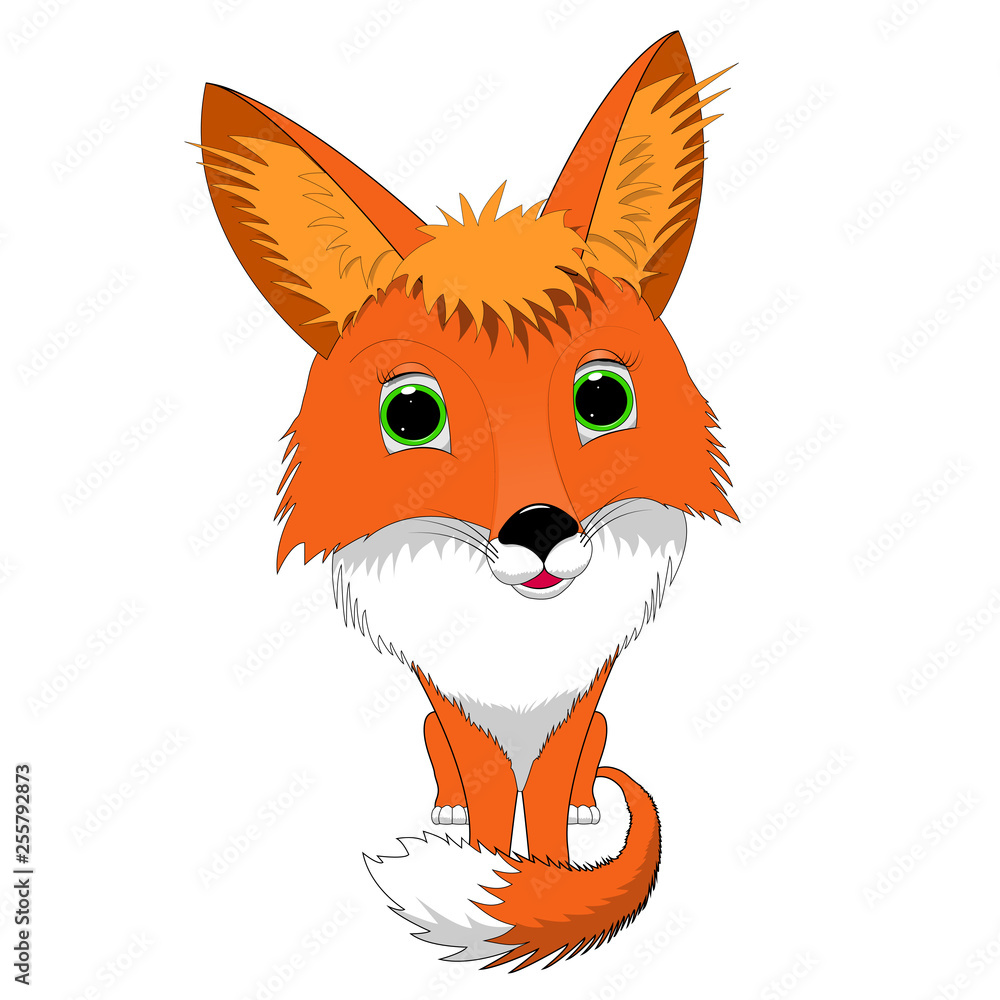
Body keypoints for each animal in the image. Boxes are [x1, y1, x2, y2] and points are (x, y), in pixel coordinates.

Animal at [199, 32, 736, 970]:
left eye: (603, 399)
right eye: (412, 416)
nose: (540, 529)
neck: (517, 650)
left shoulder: (579, 701)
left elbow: (551, 801)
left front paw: (547, 877)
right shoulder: (455, 709)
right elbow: (486, 807)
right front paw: (487, 863)